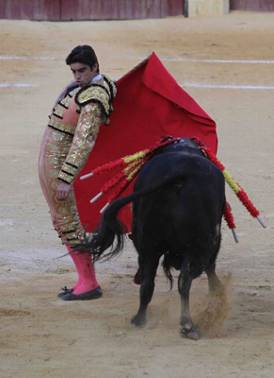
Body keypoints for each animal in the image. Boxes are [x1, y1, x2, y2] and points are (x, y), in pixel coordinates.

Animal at [87, 139, 225, 340]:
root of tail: (180, 174)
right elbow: (210, 266)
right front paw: (217, 291)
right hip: (193, 245)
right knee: (183, 280)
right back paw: (185, 324)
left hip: (150, 243)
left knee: (152, 283)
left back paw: (145, 319)